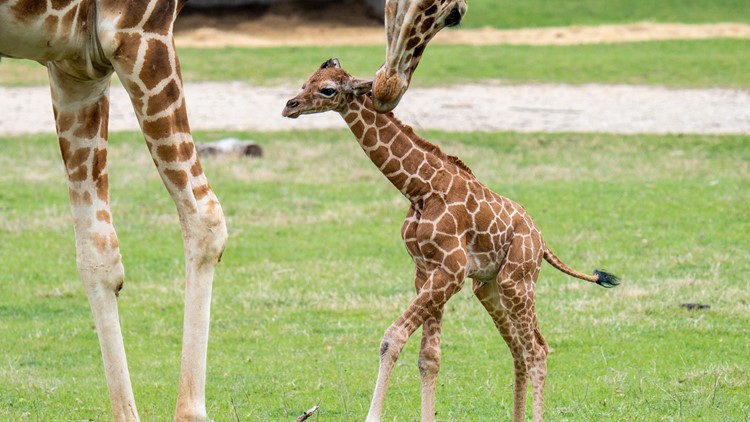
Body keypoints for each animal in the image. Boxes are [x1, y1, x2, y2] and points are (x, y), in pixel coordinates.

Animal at [282, 59, 616, 422]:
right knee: (518, 349)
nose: (290, 106)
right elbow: (429, 358)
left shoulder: (451, 271)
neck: (420, 188)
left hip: (518, 280)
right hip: (488, 286)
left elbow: (392, 338)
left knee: (537, 350)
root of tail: (541, 243)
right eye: (306, 80)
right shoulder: (425, 270)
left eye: (327, 89)